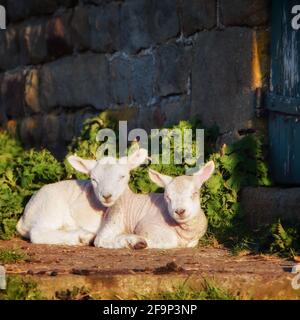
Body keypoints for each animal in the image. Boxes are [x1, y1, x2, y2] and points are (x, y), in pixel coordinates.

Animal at [16, 148, 148, 245]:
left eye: (122, 176)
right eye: (93, 179)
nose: (106, 196)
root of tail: (23, 219)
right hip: (49, 207)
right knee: (37, 233)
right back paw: (83, 236)